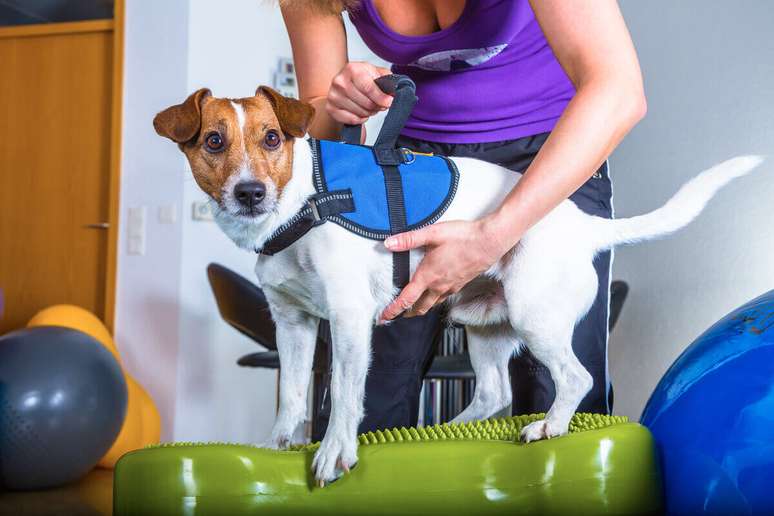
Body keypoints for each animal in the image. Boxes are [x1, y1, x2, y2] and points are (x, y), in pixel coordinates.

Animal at [156, 86, 764, 486]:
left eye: (272, 138)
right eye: (214, 141)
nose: (250, 193)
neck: (303, 202)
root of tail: (582, 224)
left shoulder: (349, 320)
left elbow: (346, 397)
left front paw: (333, 453)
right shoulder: (293, 324)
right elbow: (292, 396)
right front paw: (279, 445)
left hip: (534, 315)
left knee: (577, 376)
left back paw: (550, 425)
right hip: (485, 325)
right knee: (494, 393)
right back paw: (454, 427)